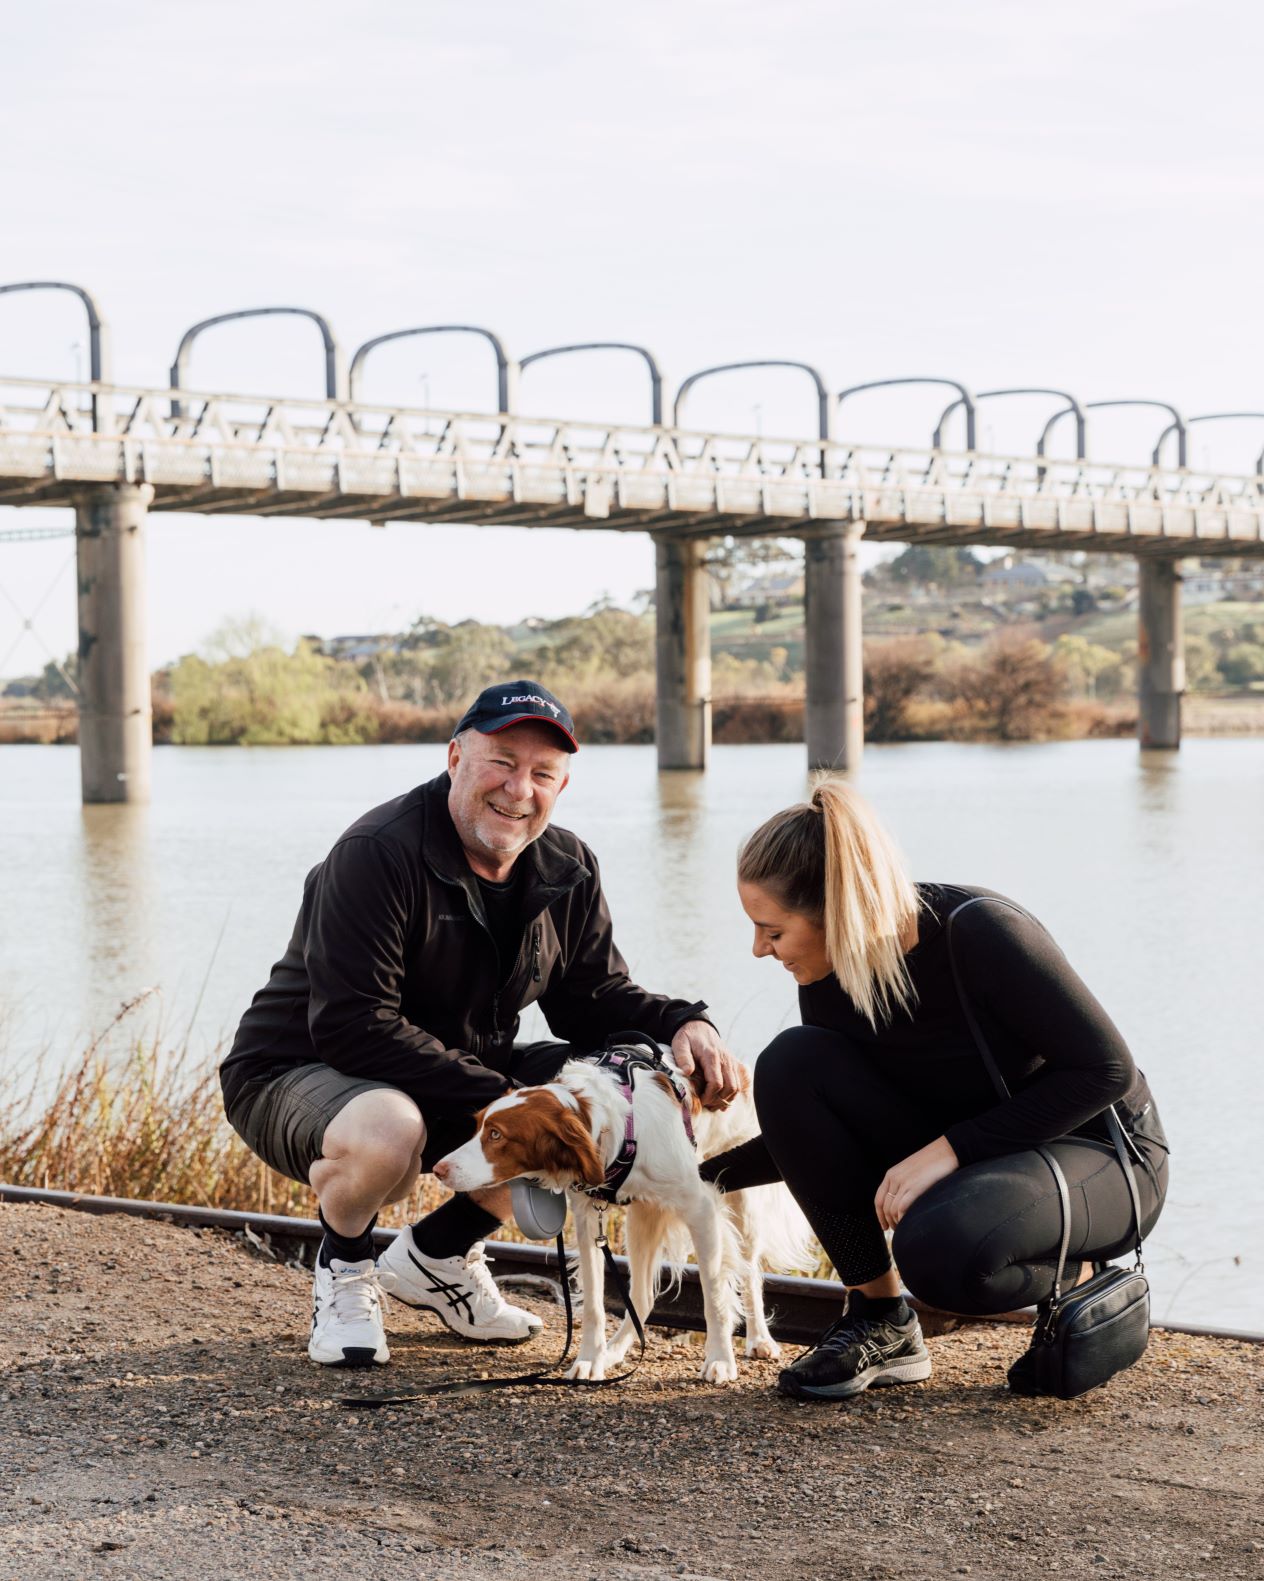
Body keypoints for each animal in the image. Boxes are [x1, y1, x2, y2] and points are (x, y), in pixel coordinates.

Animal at [436, 1049, 809, 1384]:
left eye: (496, 1135)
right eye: (477, 1127)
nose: (439, 1169)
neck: (613, 1127)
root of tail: (741, 1067)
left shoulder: (701, 1208)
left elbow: (714, 1297)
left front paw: (719, 1360)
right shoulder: (588, 1217)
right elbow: (594, 1306)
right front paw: (590, 1359)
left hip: (742, 1206)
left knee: (750, 1275)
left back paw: (760, 1339)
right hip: (644, 1216)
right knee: (642, 1296)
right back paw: (615, 1351)